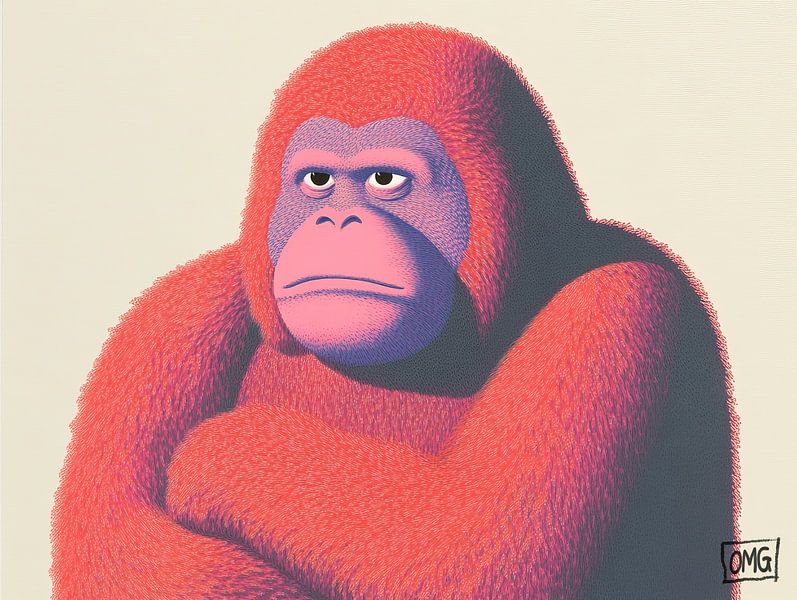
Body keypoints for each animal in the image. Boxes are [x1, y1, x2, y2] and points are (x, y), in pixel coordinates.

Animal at [52, 24, 738, 599]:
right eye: (318, 182)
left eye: (385, 180)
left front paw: (224, 453)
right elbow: (120, 552)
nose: (336, 221)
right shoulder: (171, 314)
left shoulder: (619, 305)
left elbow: (473, 544)